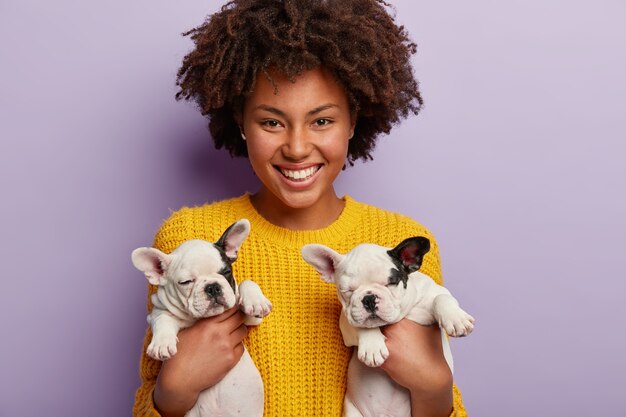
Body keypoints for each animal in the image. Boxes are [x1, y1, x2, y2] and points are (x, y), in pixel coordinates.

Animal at [130, 218, 270, 416]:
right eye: (186, 282)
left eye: (226, 272)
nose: (212, 287)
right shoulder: (157, 311)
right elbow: (162, 318)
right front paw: (161, 344)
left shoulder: (250, 317)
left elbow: (246, 282)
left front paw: (256, 301)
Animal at [302, 236, 472, 416]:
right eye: (347, 290)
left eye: (391, 283)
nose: (369, 298)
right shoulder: (347, 321)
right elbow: (364, 327)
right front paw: (372, 349)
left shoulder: (436, 291)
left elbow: (441, 298)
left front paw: (457, 319)